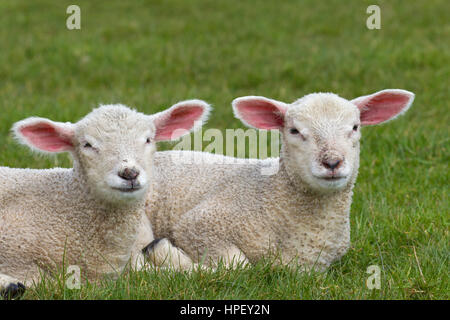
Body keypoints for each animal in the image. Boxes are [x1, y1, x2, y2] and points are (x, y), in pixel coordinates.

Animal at [144, 89, 414, 272]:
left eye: (355, 127)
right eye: (294, 131)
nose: (332, 162)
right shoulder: (200, 225)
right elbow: (238, 266)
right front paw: (168, 254)